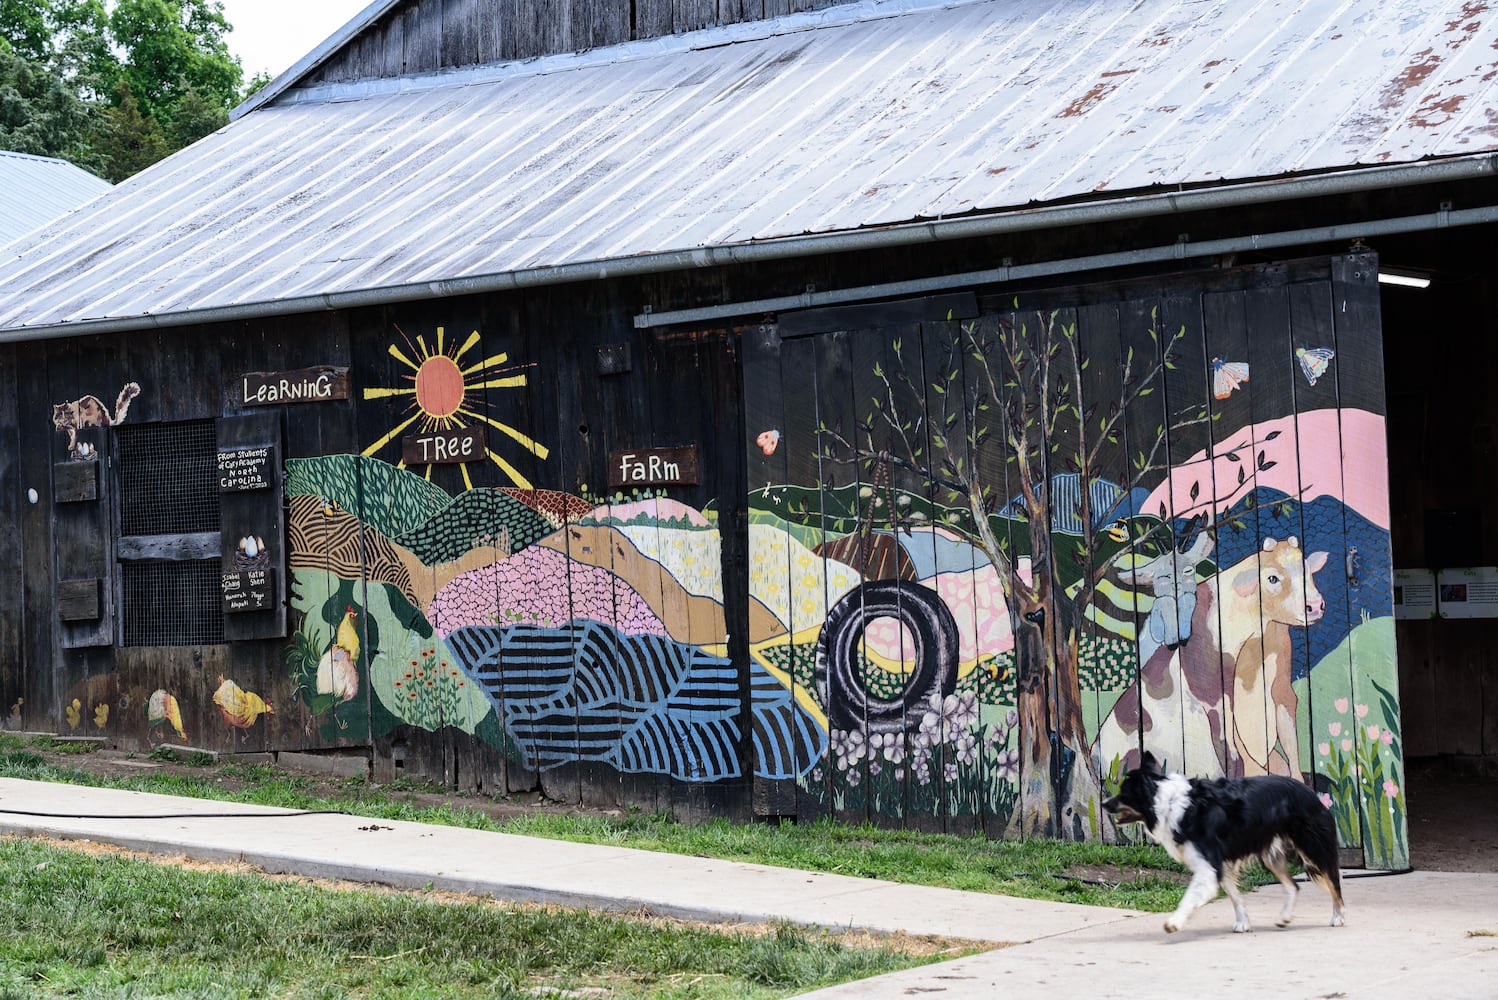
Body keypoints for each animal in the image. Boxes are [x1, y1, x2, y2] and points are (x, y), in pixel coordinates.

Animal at [1096, 538, 1330, 778]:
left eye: (1308, 570)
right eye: (1272, 578)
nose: (1314, 606)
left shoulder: (1282, 682)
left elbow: (1289, 737)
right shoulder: (1212, 694)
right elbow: (1231, 748)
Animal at [1102, 754, 1348, 934]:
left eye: (1123, 793)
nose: (1104, 803)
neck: (1168, 802)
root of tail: (1312, 792)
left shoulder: (1209, 864)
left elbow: (1191, 896)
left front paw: (1175, 922)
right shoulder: (1220, 864)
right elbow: (1234, 896)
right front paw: (1243, 923)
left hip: (1313, 847)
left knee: (1334, 881)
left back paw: (1338, 916)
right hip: (1271, 854)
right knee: (1293, 886)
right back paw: (1284, 917)